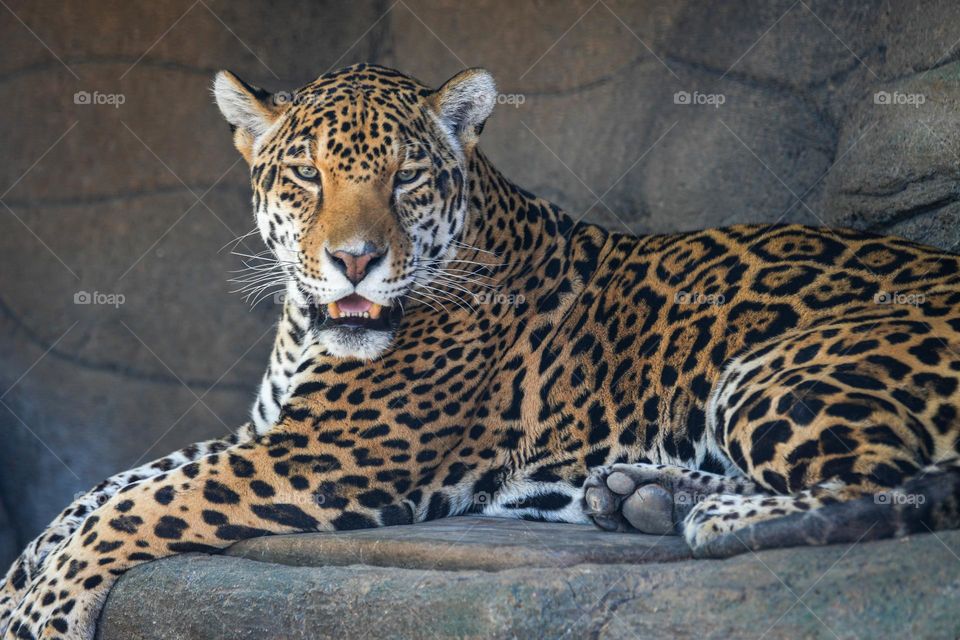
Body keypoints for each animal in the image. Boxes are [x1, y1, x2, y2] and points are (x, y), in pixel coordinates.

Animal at [4, 62, 960, 639]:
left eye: (406, 178)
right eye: (307, 173)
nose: (356, 260)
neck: (308, 323)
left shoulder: (321, 459)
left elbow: (141, 505)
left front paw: (45, 612)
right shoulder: (267, 435)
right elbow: (102, 490)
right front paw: (20, 581)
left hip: (777, 370)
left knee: (894, 490)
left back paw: (708, 518)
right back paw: (642, 496)